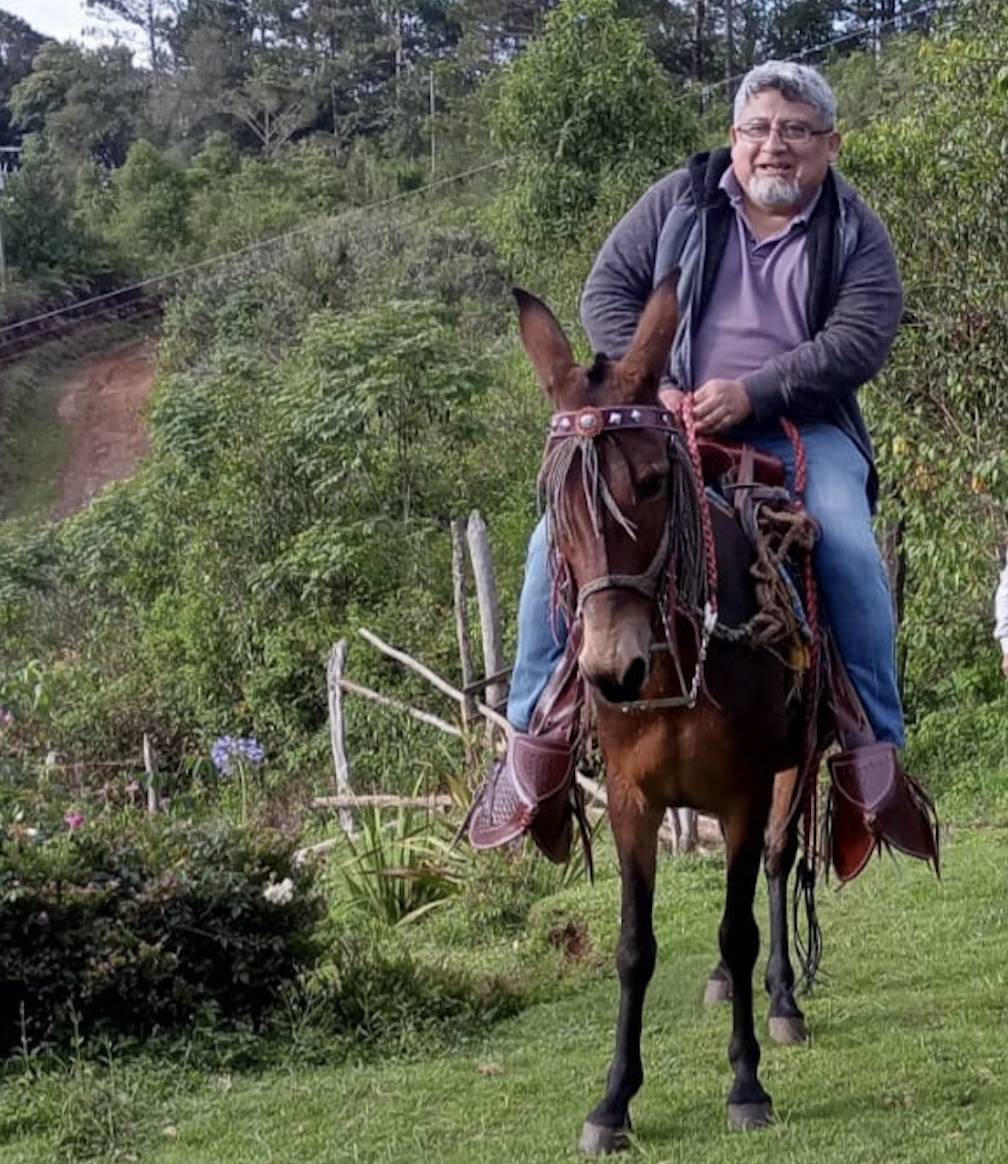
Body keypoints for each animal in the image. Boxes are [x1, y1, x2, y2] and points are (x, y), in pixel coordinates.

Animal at [514, 272, 818, 1153]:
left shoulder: (745, 793)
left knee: (779, 868)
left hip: (803, 760)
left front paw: (746, 1083)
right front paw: (613, 1100)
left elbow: (739, 928)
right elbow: (633, 948)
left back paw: (783, 1000)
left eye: (652, 481)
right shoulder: (630, 802)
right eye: (553, 499)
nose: (614, 671)